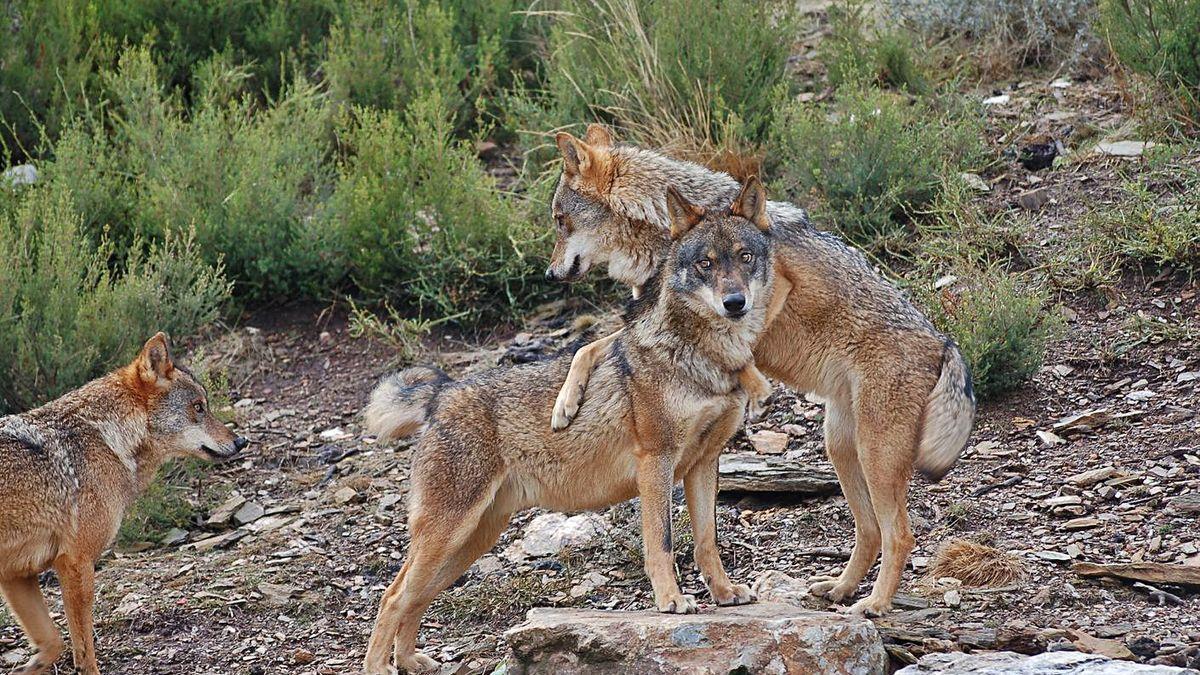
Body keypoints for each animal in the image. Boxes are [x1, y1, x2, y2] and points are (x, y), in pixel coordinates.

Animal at [0, 333, 246, 667]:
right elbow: (84, 652)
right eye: (198, 407)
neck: (106, 437)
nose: (241, 441)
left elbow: (53, 644)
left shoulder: (16, 574)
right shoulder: (75, 563)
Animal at [360, 178, 777, 672]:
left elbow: (706, 541)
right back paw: (379, 665)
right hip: (449, 535)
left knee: (415, 598)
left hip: (470, 542)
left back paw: (409, 660)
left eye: (744, 257)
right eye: (705, 264)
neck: (709, 359)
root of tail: (441, 395)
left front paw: (725, 593)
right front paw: (671, 601)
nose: (735, 303)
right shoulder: (655, 461)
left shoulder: (704, 464)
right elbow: (662, 542)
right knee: (392, 596)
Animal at [544, 124, 974, 614]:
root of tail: (944, 341)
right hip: (842, 449)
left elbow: (727, 343)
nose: (550, 275)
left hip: (875, 455)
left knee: (899, 535)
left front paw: (753, 384)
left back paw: (873, 605)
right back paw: (841, 588)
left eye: (559, 220)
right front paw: (565, 403)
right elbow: (589, 348)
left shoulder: (772, 292)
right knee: (870, 531)